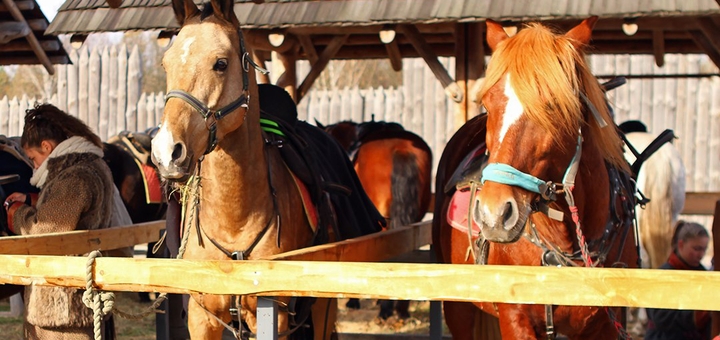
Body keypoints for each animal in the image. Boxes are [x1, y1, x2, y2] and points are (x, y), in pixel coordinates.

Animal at [434, 17, 640, 338]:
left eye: (552, 105)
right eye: (488, 105)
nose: (494, 214)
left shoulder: (606, 324)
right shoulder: (515, 319)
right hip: (458, 309)